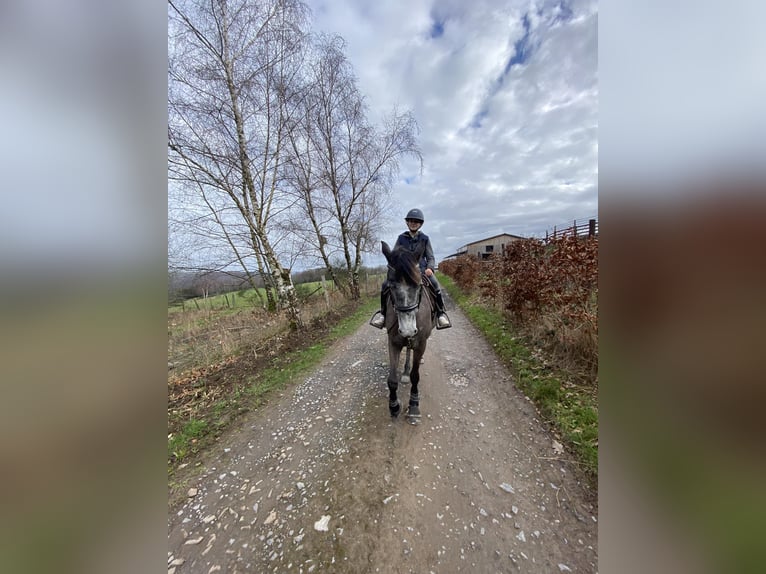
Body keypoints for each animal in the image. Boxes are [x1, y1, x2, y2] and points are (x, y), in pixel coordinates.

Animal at [380, 241, 436, 426]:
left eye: (419, 286)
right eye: (391, 286)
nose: (407, 330)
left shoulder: (420, 343)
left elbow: (415, 376)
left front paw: (413, 406)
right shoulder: (393, 342)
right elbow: (391, 379)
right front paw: (394, 406)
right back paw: (404, 371)